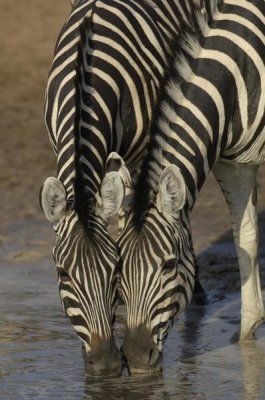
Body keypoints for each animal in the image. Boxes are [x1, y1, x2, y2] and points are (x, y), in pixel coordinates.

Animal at [105, 0, 264, 376]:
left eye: (168, 266)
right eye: (119, 268)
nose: (135, 358)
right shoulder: (234, 163)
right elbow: (245, 237)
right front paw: (246, 333)